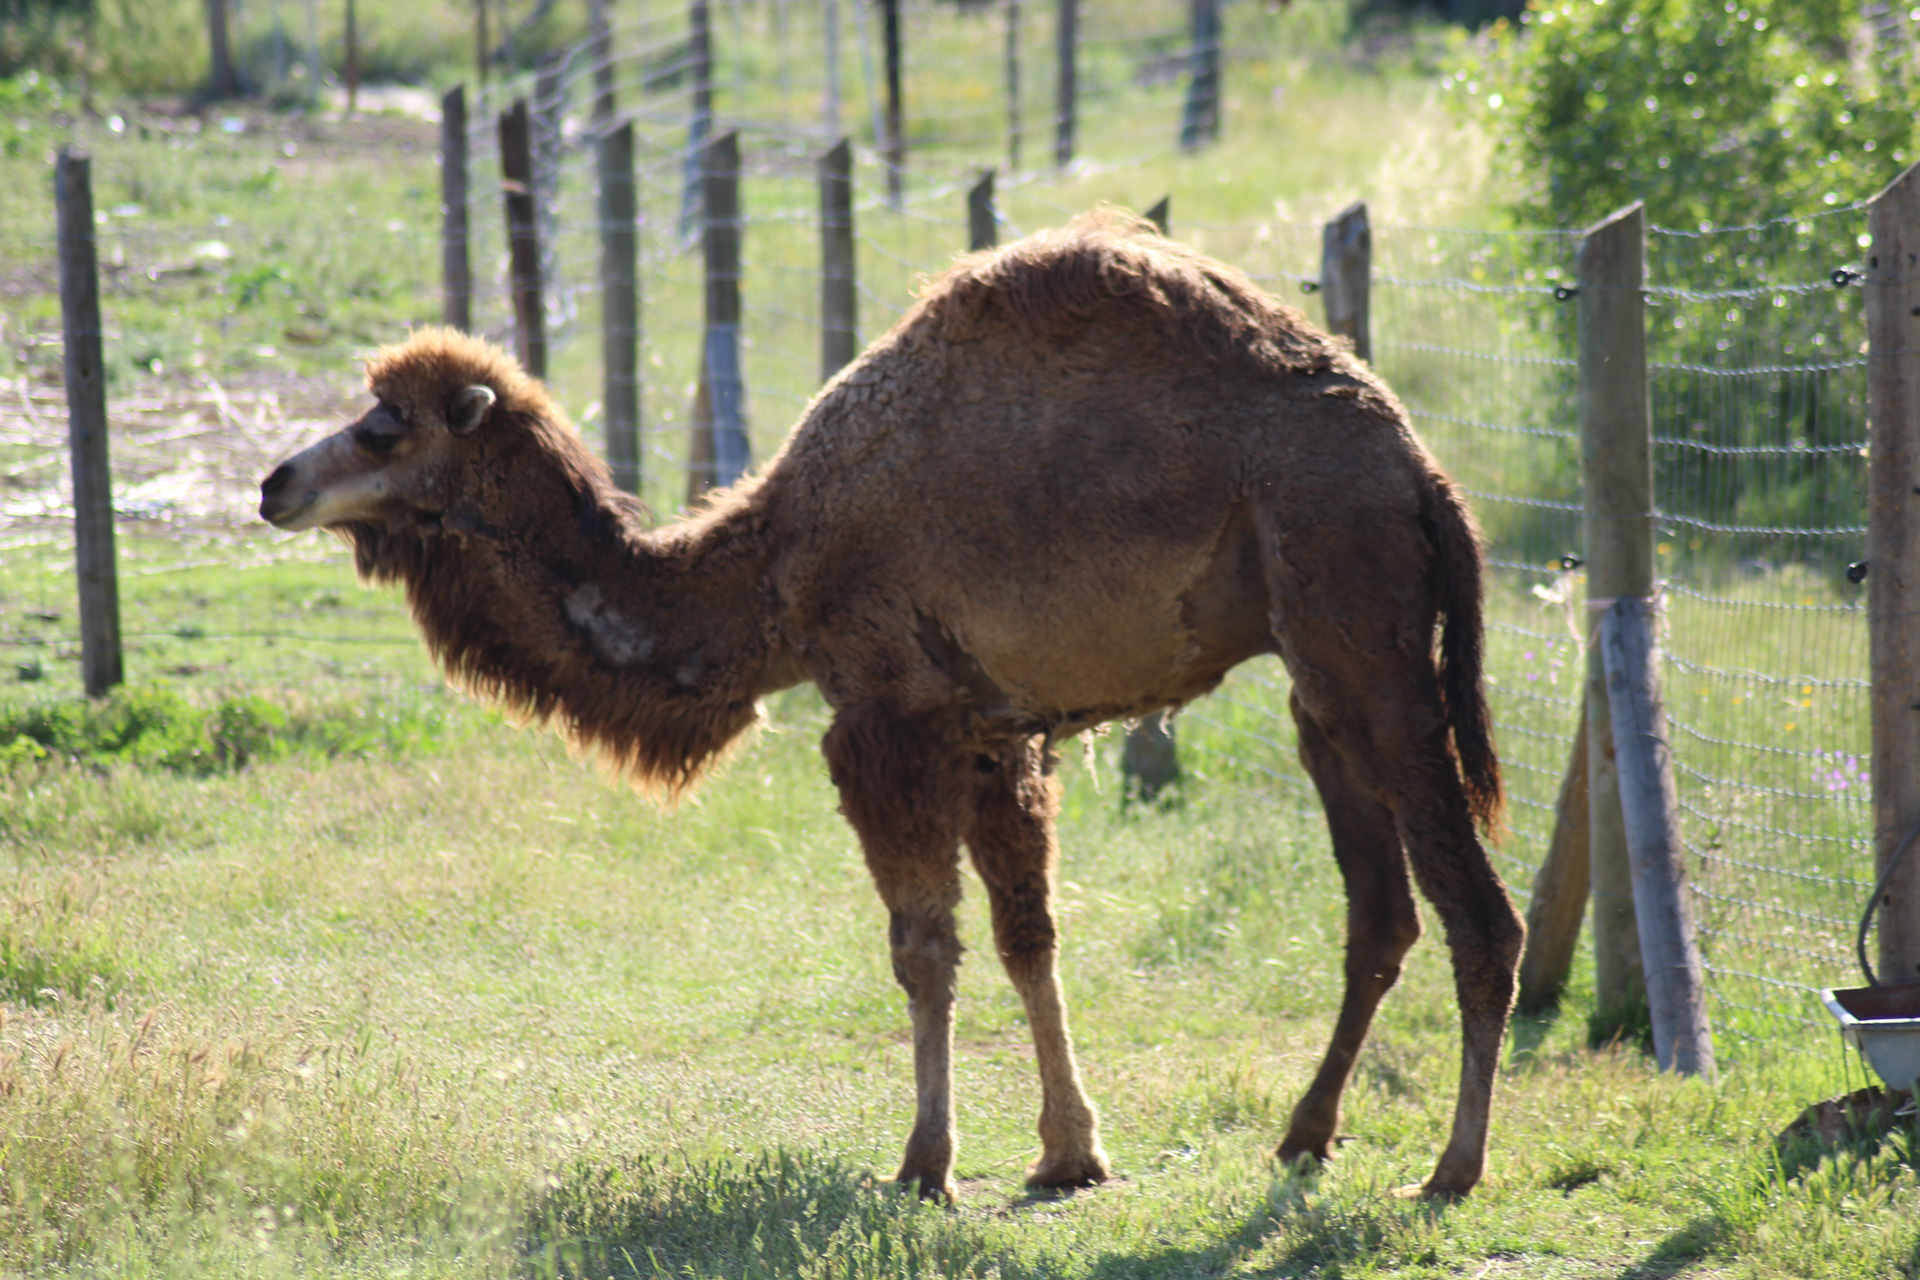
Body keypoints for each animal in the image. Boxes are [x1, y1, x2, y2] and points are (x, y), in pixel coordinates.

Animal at [263, 210, 1528, 1205]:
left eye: (383, 426)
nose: (274, 481)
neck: (768, 572)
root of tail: (1427, 477)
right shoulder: (990, 729)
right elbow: (1029, 934)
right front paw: (1070, 1152)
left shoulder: (884, 714)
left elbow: (924, 946)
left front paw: (925, 1162)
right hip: (1323, 674)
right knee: (1380, 911)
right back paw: (1305, 1135)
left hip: (1363, 627)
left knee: (1477, 912)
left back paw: (1452, 1166)